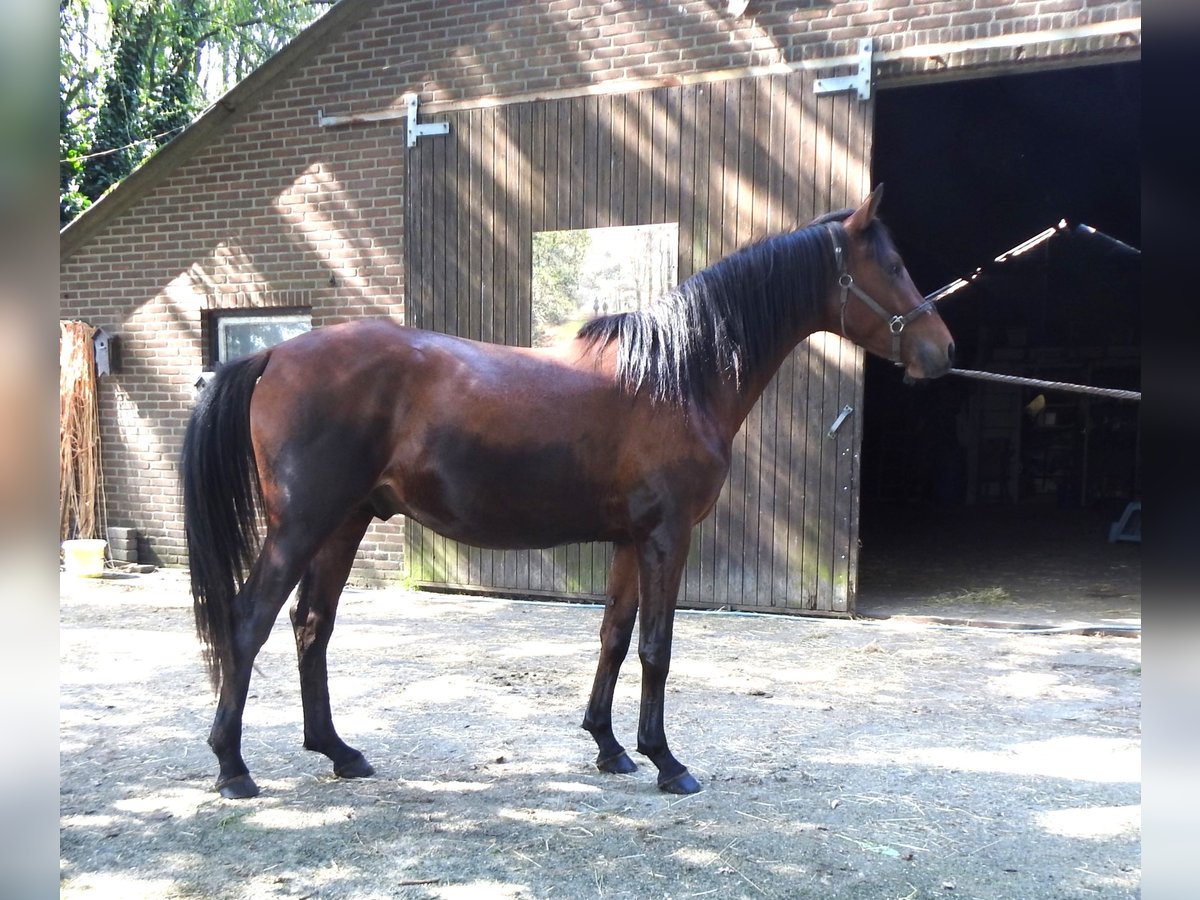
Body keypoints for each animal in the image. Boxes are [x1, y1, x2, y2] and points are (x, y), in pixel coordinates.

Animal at [182, 187, 950, 801]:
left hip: (343, 524)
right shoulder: (669, 537)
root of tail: (272, 353)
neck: (677, 375)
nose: (941, 351)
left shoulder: (630, 542)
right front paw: (668, 762)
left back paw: (339, 752)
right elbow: (656, 647)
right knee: (248, 621)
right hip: (300, 526)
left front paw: (610, 748)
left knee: (312, 625)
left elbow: (614, 637)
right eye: (893, 267)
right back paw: (233, 767)